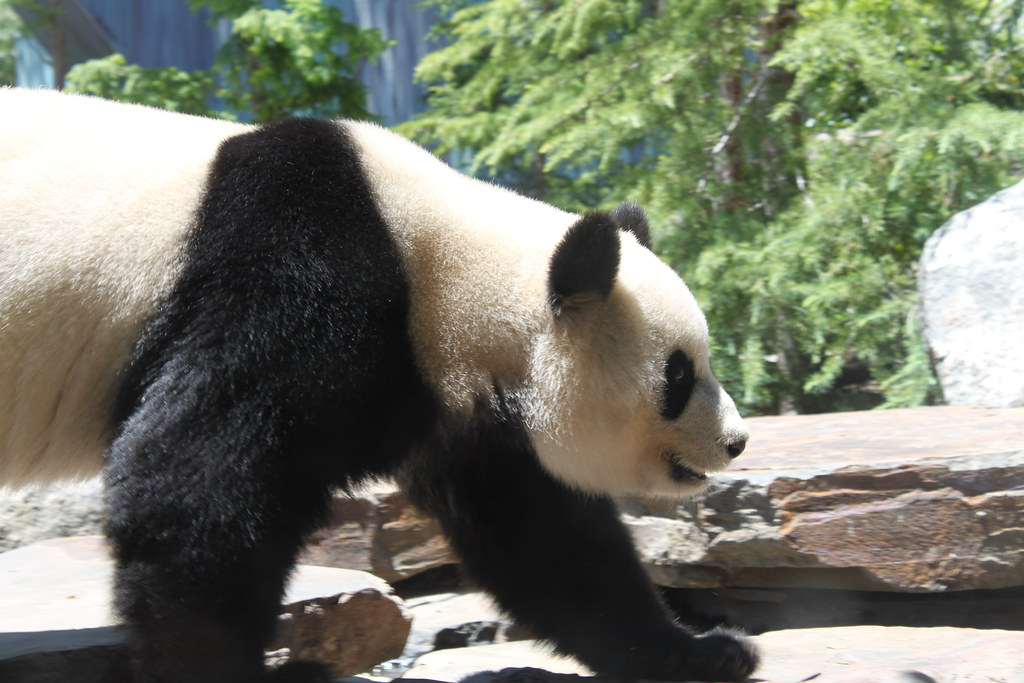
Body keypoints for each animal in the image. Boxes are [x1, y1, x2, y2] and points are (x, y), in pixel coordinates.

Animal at [0, 88, 756, 683]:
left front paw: (703, 651)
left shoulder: (457, 404)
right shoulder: (293, 278)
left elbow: (544, 540)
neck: (440, 259)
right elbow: (192, 483)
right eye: (679, 375)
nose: (737, 440)